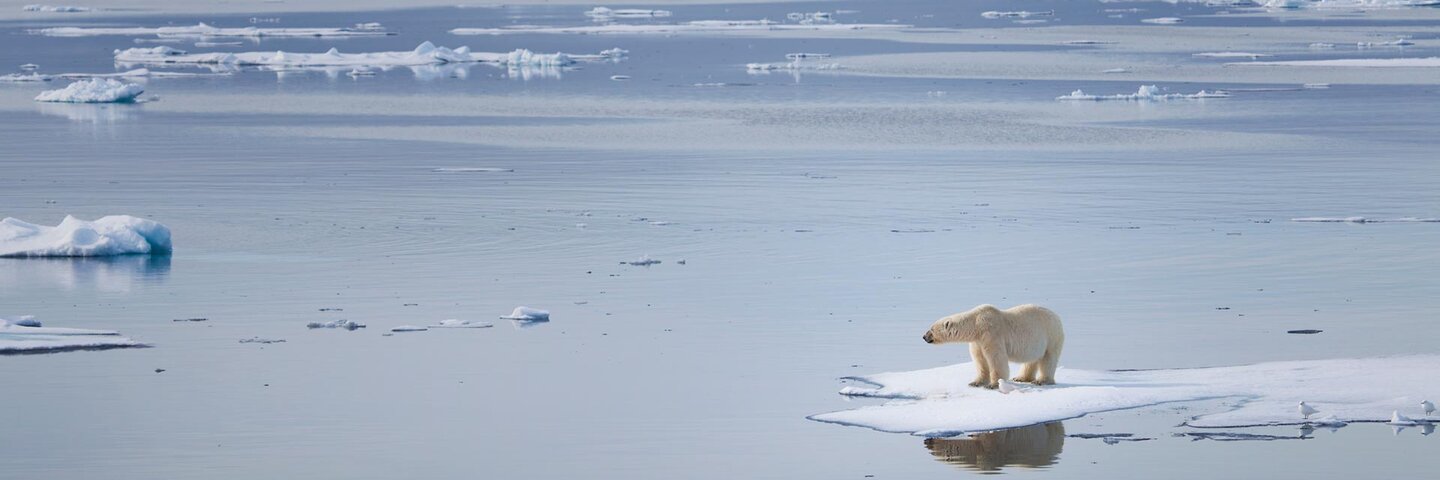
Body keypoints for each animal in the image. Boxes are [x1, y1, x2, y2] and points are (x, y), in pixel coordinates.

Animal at [922, 304, 1064, 389]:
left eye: (931, 329)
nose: (924, 336)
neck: (976, 323)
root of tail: (1057, 317)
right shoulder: (977, 341)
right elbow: (980, 360)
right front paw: (975, 382)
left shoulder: (991, 333)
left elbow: (996, 358)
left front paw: (993, 384)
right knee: (1032, 360)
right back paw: (1021, 378)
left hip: (1051, 336)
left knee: (1048, 358)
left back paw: (1041, 380)